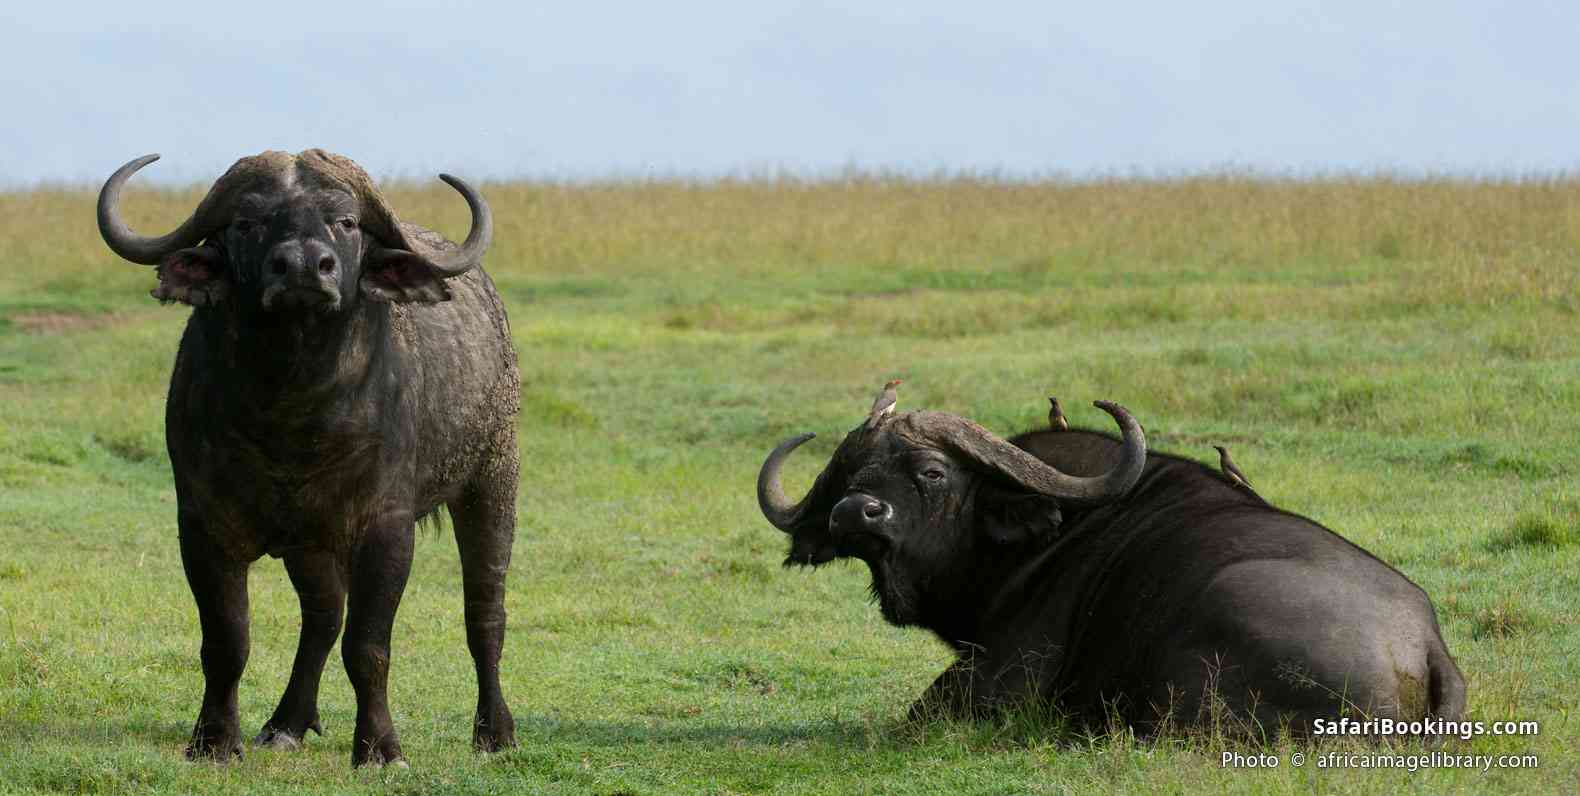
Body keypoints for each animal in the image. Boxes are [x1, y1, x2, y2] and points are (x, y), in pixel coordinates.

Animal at [97, 150, 520, 766]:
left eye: (345, 222)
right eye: (245, 222)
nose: (302, 268)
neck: (293, 416)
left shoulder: (386, 530)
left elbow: (369, 646)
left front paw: (379, 748)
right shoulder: (201, 527)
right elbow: (227, 640)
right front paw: (214, 740)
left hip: (493, 479)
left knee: (484, 612)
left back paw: (495, 732)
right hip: (309, 544)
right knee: (322, 618)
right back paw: (287, 722)